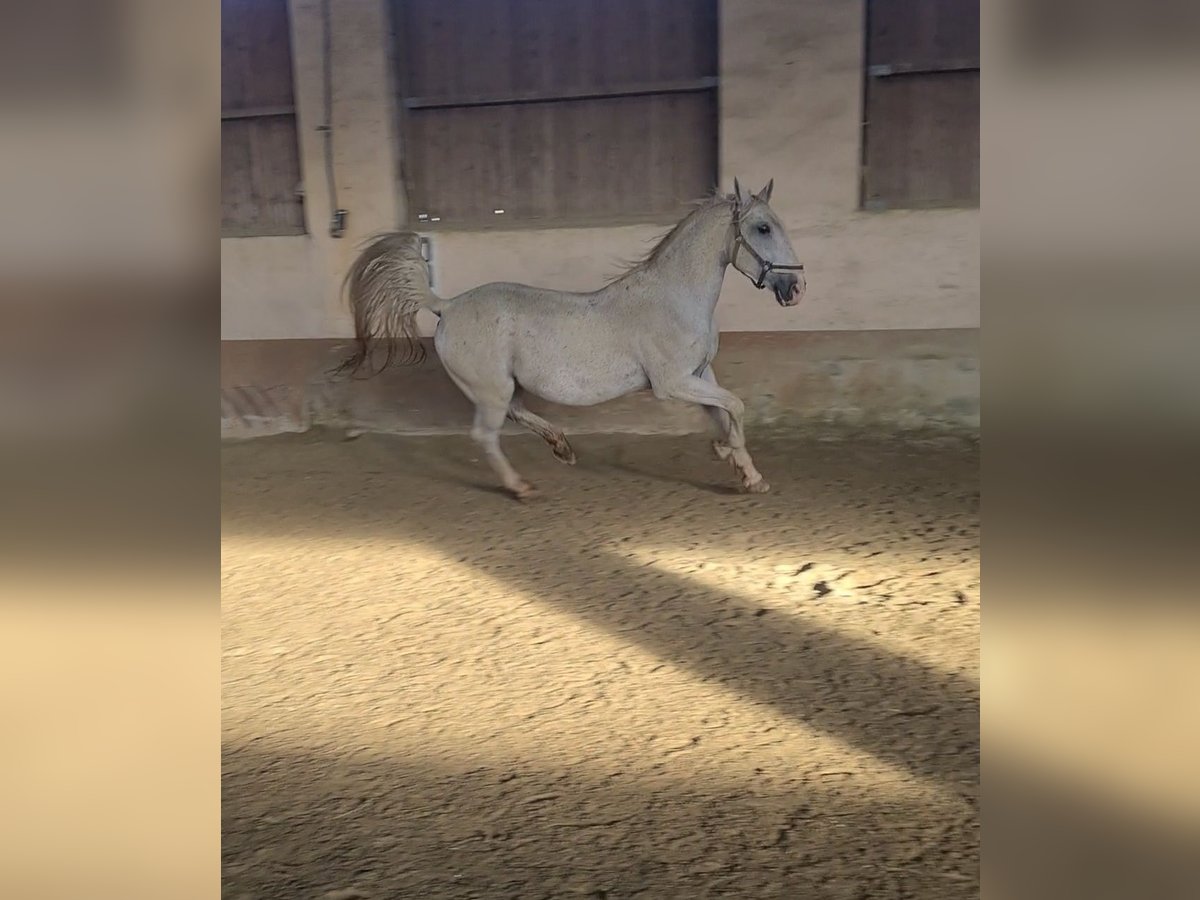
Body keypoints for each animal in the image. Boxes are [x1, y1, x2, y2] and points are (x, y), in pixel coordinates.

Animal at [340, 176, 806, 501]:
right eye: (763, 228)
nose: (795, 288)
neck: (675, 296)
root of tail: (446, 305)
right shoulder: (673, 384)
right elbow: (736, 407)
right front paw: (735, 460)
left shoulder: (701, 374)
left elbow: (725, 413)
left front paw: (744, 471)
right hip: (491, 389)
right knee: (486, 435)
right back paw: (522, 487)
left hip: (502, 386)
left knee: (516, 414)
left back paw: (562, 448)